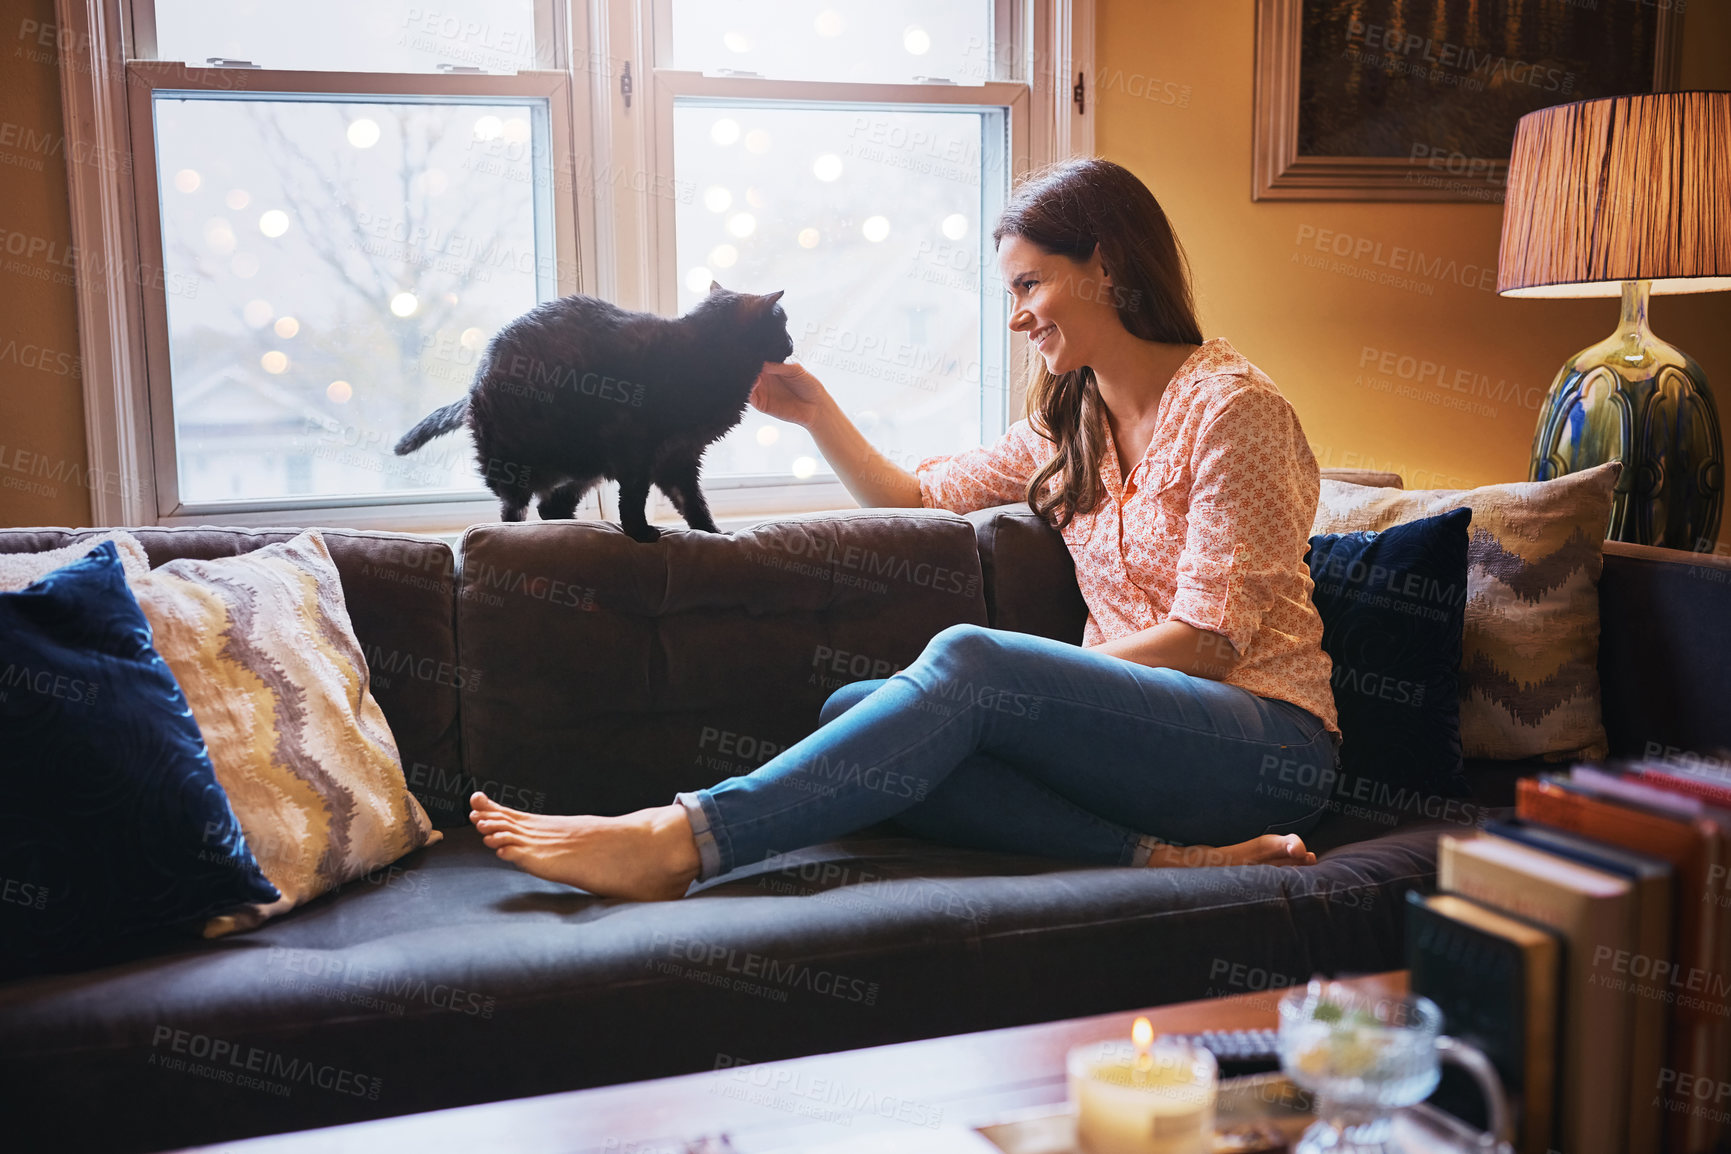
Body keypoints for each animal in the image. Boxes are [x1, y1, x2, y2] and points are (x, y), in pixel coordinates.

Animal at [392, 287, 792, 543]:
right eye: (783, 324)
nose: (791, 344)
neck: (707, 355)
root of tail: (475, 382)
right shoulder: (637, 450)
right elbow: (634, 498)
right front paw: (640, 533)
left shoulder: (679, 456)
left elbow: (692, 501)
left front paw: (712, 532)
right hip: (514, 463)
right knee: (514, 509)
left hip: (585, 468)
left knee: (550, 507)